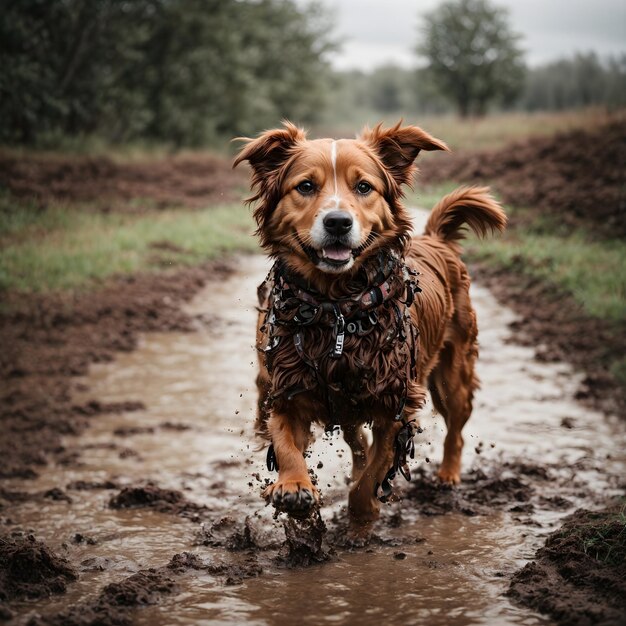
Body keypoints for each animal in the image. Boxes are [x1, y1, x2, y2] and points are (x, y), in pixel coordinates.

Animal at [232, 120, 504, 536]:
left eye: (363, 187)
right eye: (305, 186)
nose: (338, 222)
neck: (335, 307)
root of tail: (436, 239)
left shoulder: (395, 400)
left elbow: (375, 472)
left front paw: (363, 515)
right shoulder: (288, 386)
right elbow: (286, 442)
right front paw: (293, 488)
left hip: (453, 375)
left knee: (455, 429)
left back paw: (448, 475)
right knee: (356, 438)